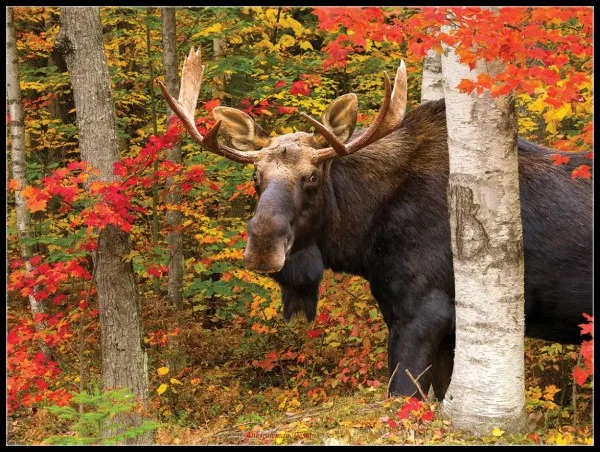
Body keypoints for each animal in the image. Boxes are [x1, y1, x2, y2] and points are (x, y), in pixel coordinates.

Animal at [158, 48, 592, 400]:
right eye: (255, 176)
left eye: (312, 176)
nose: (263, 245)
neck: (362, 239)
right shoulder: (444, 328)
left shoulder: (423, 312)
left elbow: (400, 396)